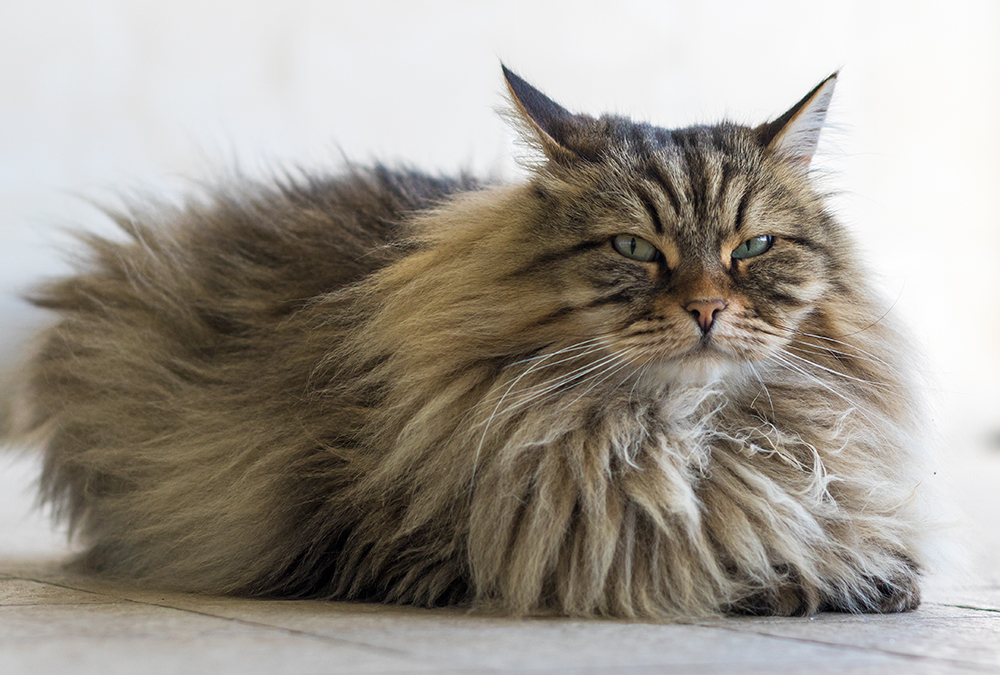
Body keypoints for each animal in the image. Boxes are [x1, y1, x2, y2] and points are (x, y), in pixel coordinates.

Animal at [7, 66, 928, 620]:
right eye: (634, 248)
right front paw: (785, 576)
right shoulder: (413, 546)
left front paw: (861, 574)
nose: (705, 307)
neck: (678, 432)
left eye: (754, 248)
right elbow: (682, 553)